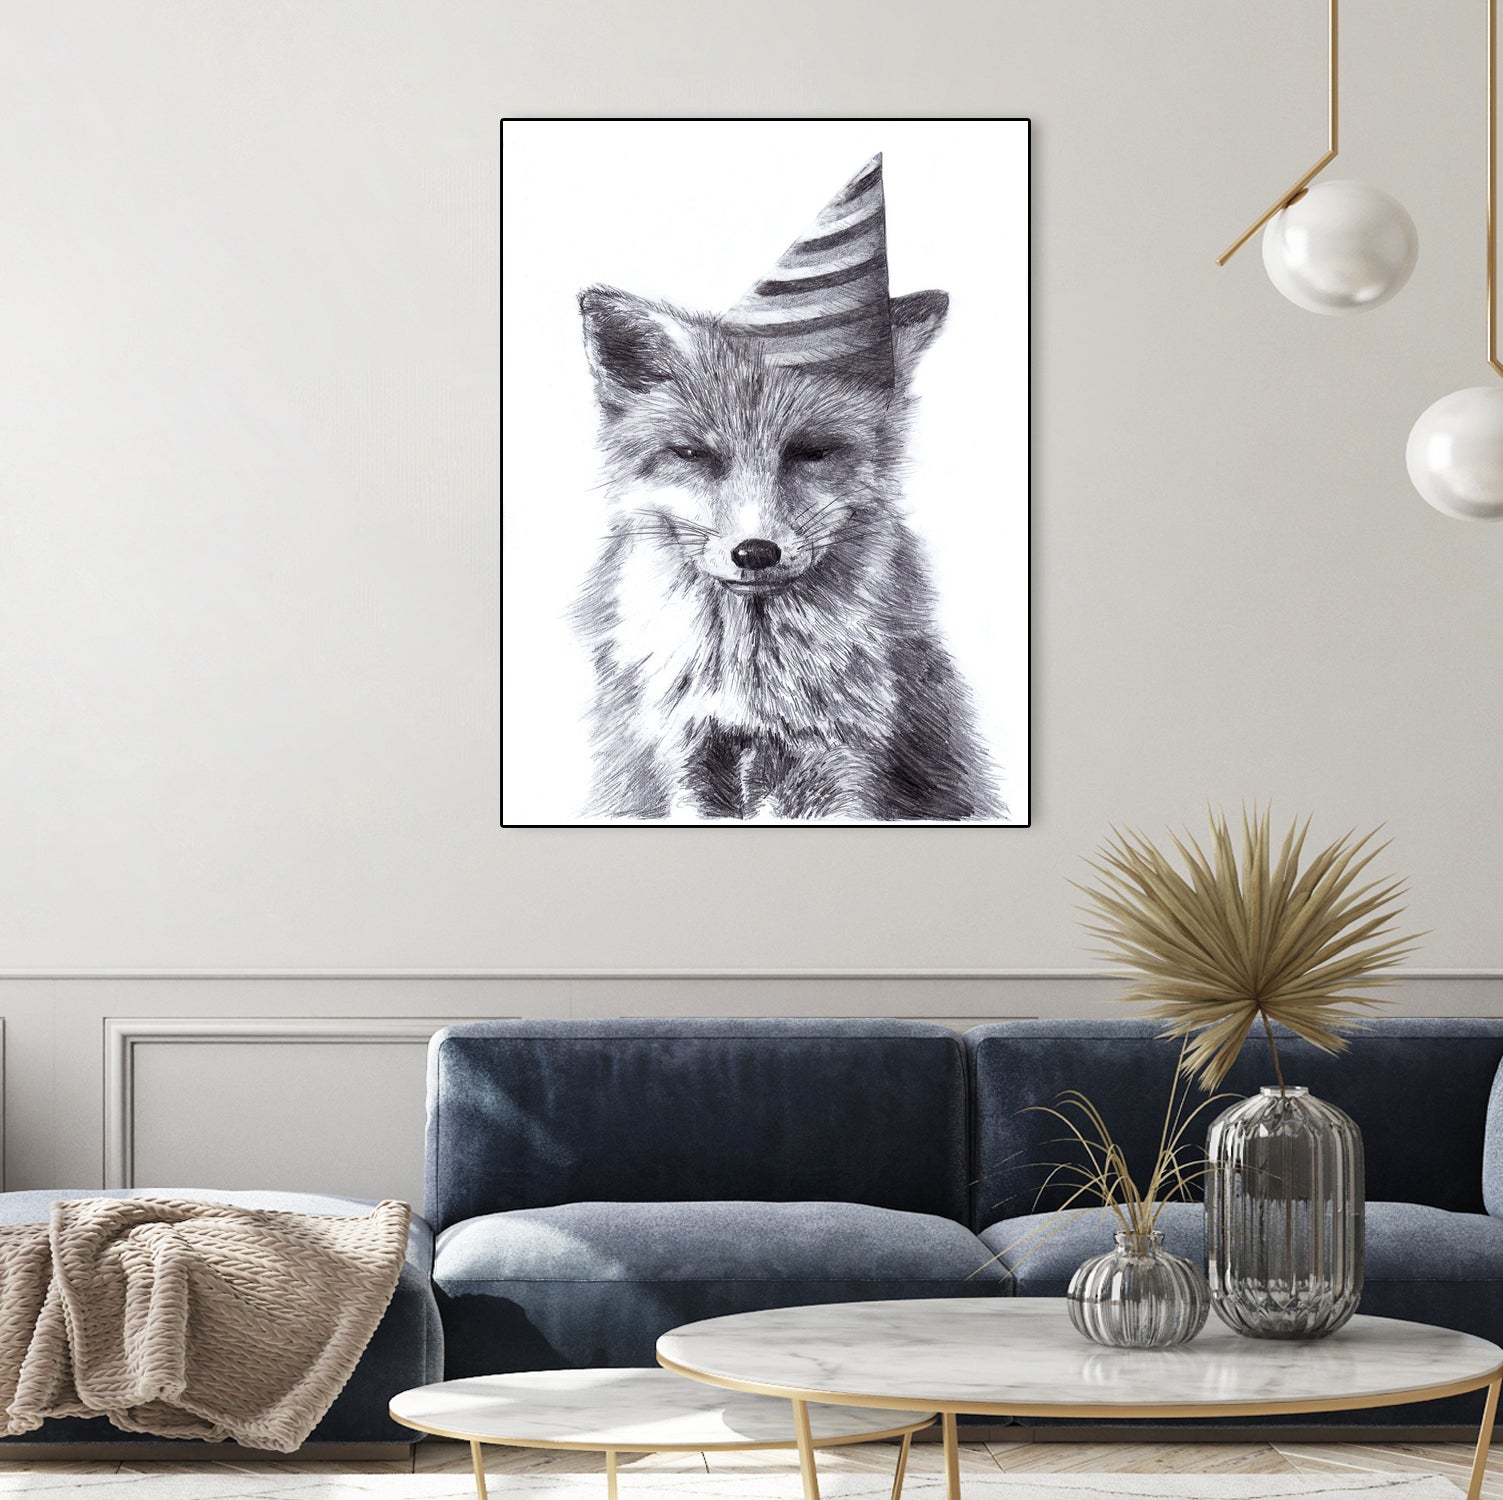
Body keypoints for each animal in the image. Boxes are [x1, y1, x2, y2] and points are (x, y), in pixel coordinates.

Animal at [569, 280, 1004, 823]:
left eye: (811, 452)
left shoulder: (842, 758)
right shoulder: (682, 756)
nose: (755, 552)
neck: (752, 687)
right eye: (692, 454)